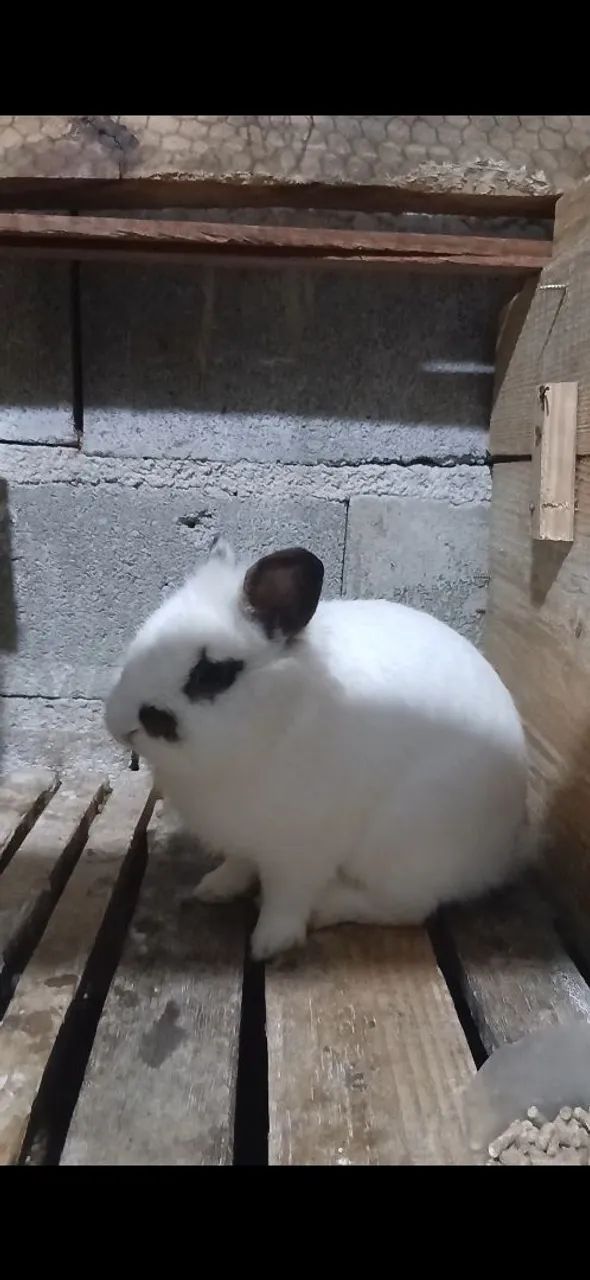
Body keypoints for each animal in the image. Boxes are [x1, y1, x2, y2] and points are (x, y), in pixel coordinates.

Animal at [105, 538, 529, 961]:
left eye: (212, 674)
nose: (119, 726)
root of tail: (503, 854)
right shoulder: (244, 837)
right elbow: (238, 865)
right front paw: (214, 888)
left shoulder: (302, 850)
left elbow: (286, 899)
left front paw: (269, 943)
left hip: (404, 843)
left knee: (408, 907)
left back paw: (328, 907)